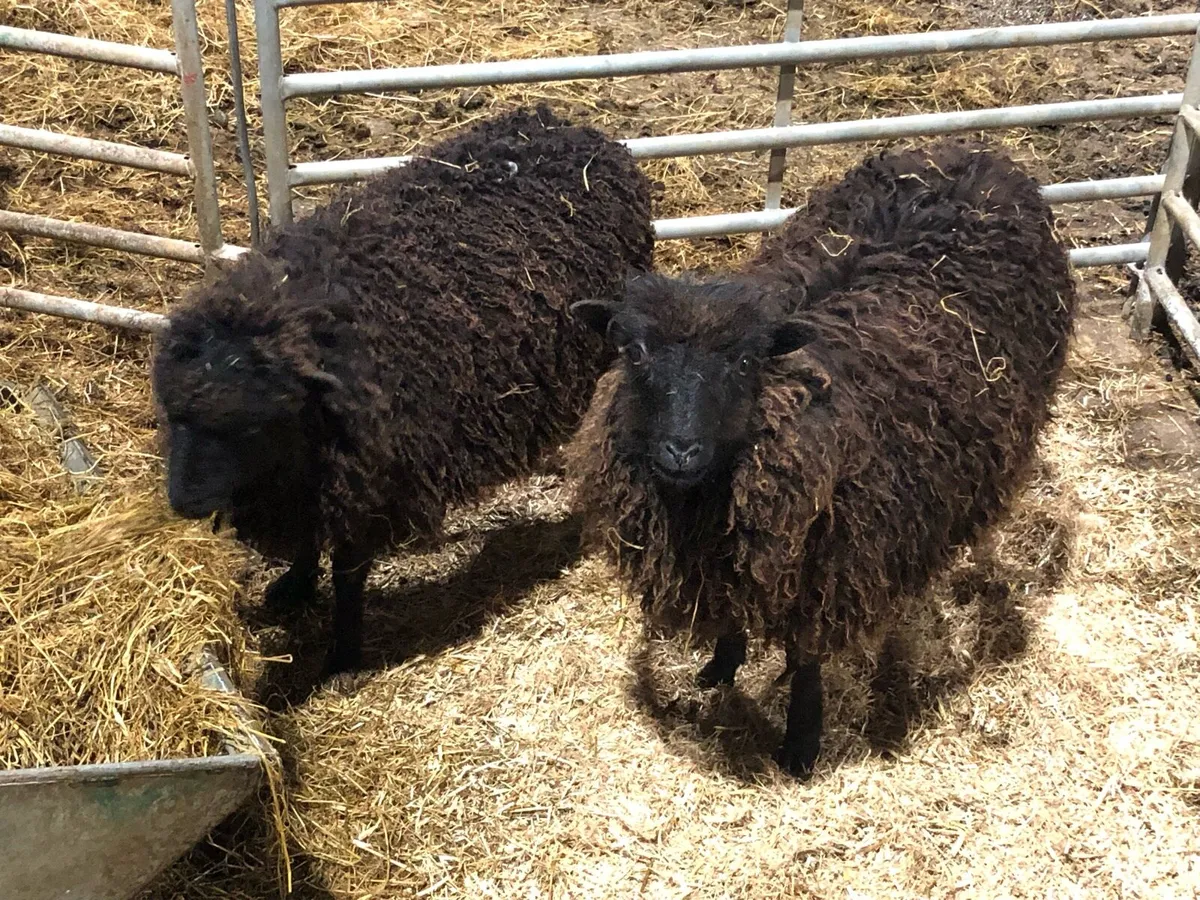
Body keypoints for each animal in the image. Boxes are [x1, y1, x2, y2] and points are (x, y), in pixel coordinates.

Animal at [152, 105, 654, 676]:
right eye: (174, 416)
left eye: (249, 425)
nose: (183, 503)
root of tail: (572, 127)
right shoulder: (316, 478)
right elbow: (306, 538)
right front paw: (294, 588)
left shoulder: (367, 477)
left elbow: (348, 574)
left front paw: (343, 657)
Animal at [566, 140, 1077, 777]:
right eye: (633, 352)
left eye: (745, 362)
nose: (681, 450)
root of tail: (979, 152)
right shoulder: (735, 554)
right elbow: (732, 610)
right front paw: (721, 666)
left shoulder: (830, 560)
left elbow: (807, 656)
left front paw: (802, 742)